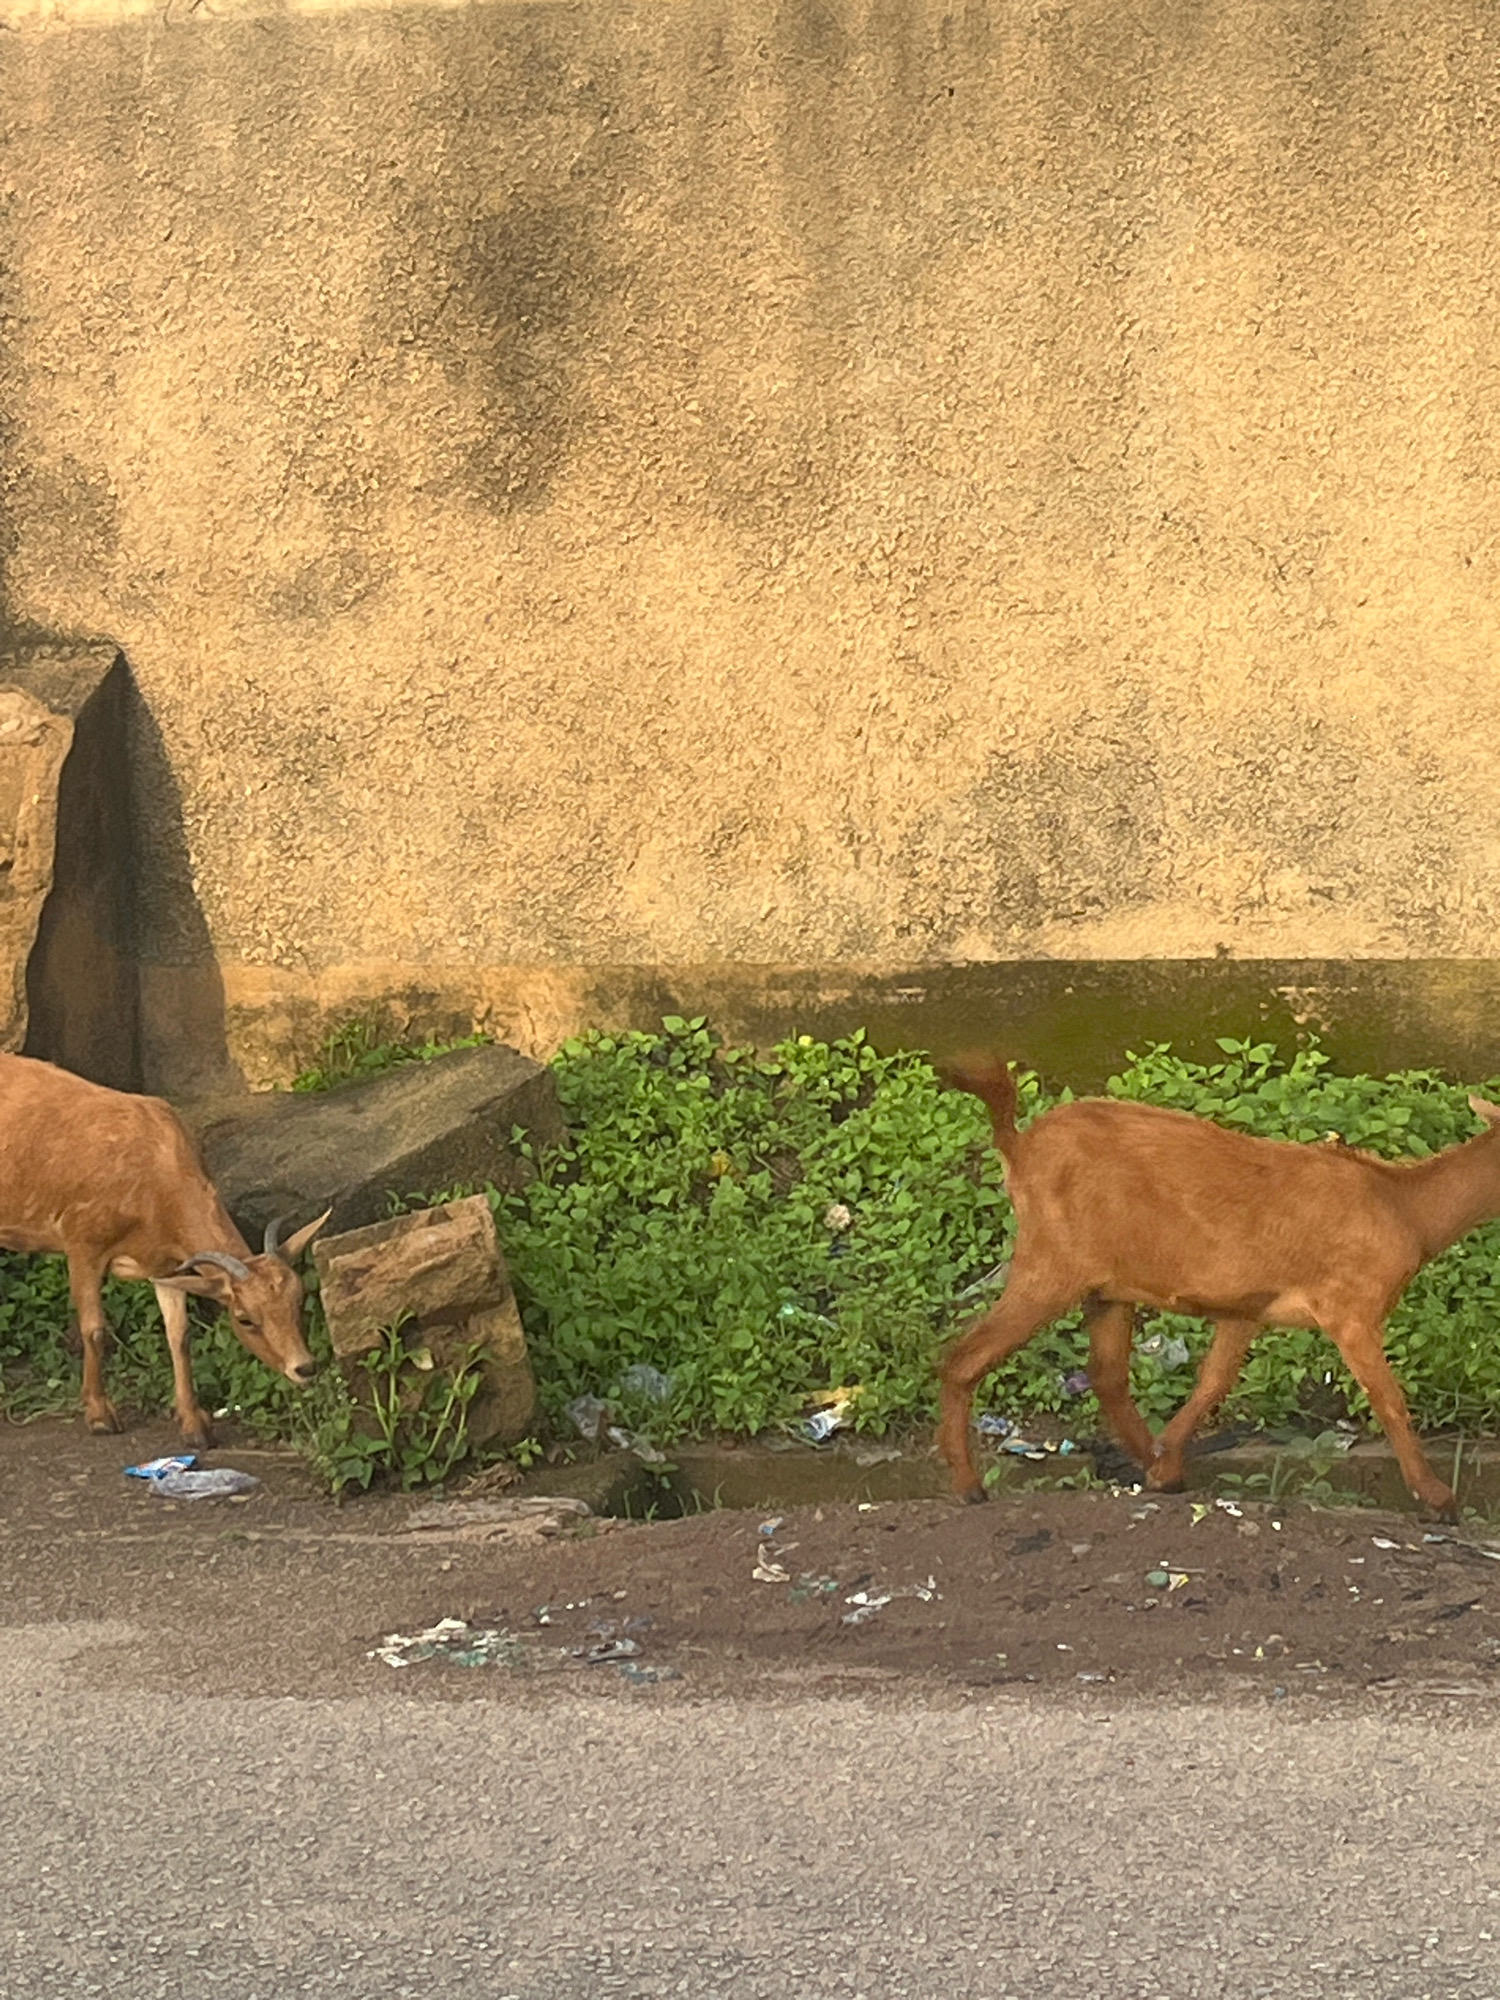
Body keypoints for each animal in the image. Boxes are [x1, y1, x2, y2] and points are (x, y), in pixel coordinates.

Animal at [0, 1053, 329, 1448]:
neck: (154, 1174)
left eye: (300, 1299)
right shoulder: (83, 1242)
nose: (305, 1367)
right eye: (245, 1318)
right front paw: (100, 1415)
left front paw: (194, 1424)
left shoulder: (166, 1264)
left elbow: (179, 1335)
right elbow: (94, 1329)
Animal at [937, 1057, 1500, 1521]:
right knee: (965, 1356)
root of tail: (1017, 1146)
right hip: (1053, 1262)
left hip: (1107, 1285)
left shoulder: (1247, 1306)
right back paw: (967, 1487)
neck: (1406, 1210)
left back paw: (1153, 1465)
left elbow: (1213, 1382)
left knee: (1107, 1374)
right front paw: (1439, 1500)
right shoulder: (1350, 1308)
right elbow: (1389, 1400)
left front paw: (1165, 1463)